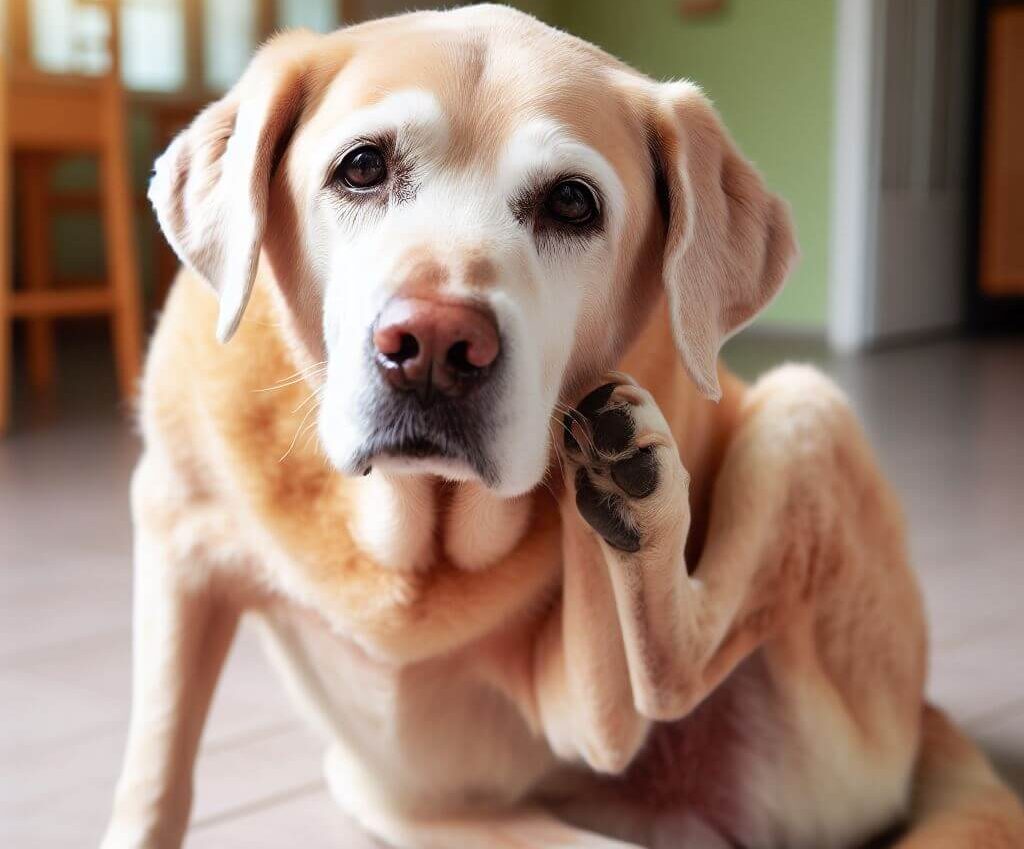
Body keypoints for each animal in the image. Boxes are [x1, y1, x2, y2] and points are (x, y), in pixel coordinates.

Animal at [97, 8, 1024, 847]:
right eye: (362, 167)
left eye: (573, 203)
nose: (435, 346)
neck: (414, 532)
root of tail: (927, 716)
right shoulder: (176, 531)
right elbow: (156, 772)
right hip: (406, 798)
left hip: (806, 412)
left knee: (653, 684)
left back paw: (630, 494)